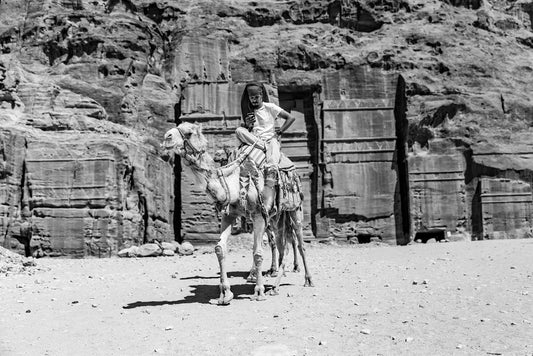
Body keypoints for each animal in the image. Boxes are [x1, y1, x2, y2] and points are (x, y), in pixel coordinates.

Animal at [160, 123, 314, 306]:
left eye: (189, 132)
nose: (166, 137)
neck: (233, 184)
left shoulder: (259, 215)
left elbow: (257, 253)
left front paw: (258, 291)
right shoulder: (229, 215)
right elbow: (220, 248)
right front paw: (225, 294)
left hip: (294, 210)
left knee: (300, 243)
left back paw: (308, 280)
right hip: (276, 217)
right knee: (283, 246)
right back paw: (275, 286)